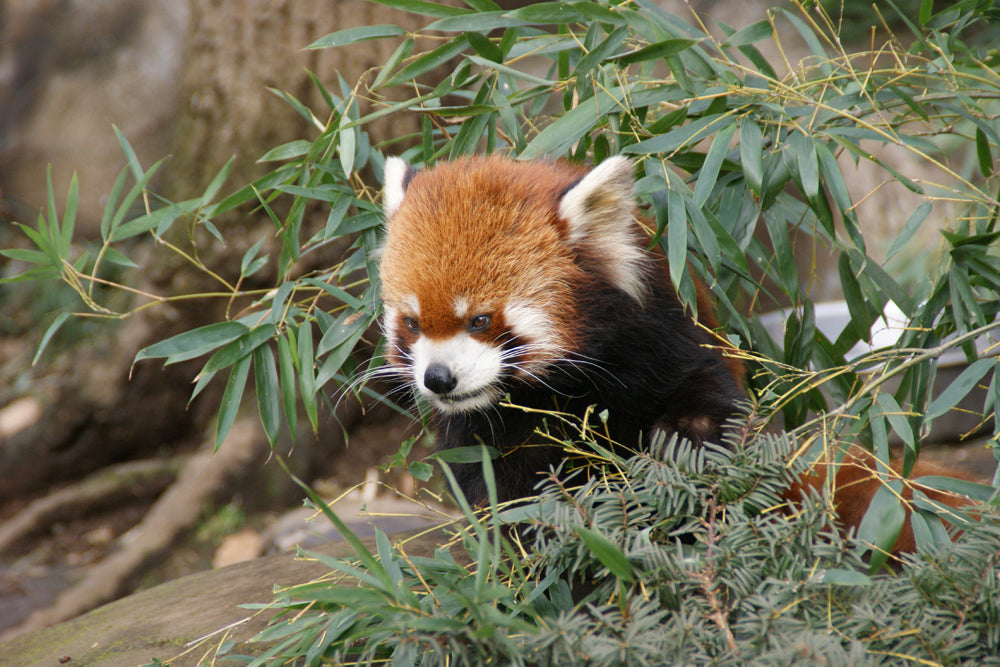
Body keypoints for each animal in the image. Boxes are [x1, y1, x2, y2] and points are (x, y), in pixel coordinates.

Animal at [378, 157, 972, 552]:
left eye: (479, 320)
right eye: (412, 323)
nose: (439, 378)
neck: (559, 392)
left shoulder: (664, 343)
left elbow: (708, 412)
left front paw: (679, 456)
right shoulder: (484, 437)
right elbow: (506, 498)